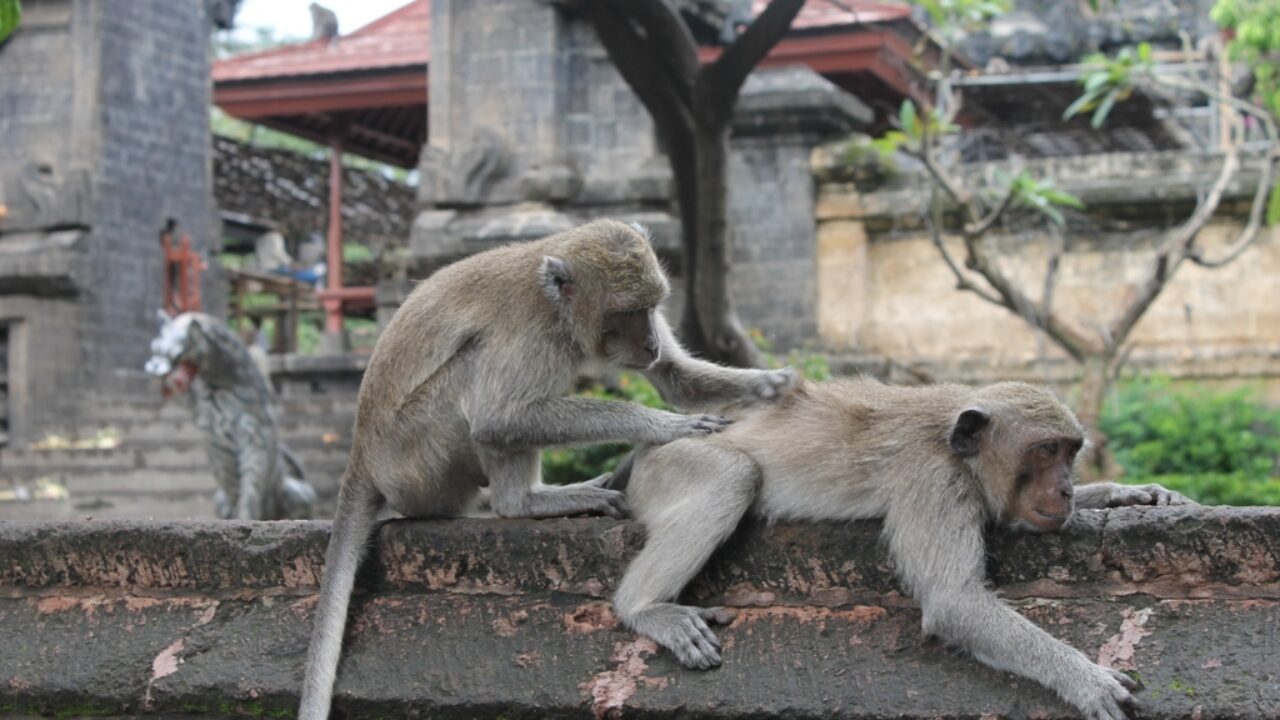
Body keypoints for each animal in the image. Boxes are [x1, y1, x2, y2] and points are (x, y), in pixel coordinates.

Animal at [299, 219, 793, 717]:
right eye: (629, 311)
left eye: (652, 307)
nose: (651, 342)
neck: (558, 309)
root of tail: (362, 453)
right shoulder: (532, 332)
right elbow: (499, 419)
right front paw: (662, 425)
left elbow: (678, 378)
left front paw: (774, 383)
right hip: (419, 462)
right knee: (478, 375)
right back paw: (525, 502)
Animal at [614, 376, 1192, 717]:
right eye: (1046, 450)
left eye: (1071, 453)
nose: (1067, 490)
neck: (957, 449)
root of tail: (642, 455)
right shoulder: (935, 479)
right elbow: (954, 601)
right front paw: (1085, 680)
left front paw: (1126, 494)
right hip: (671, 466)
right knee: (733, 475)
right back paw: (644, 608)